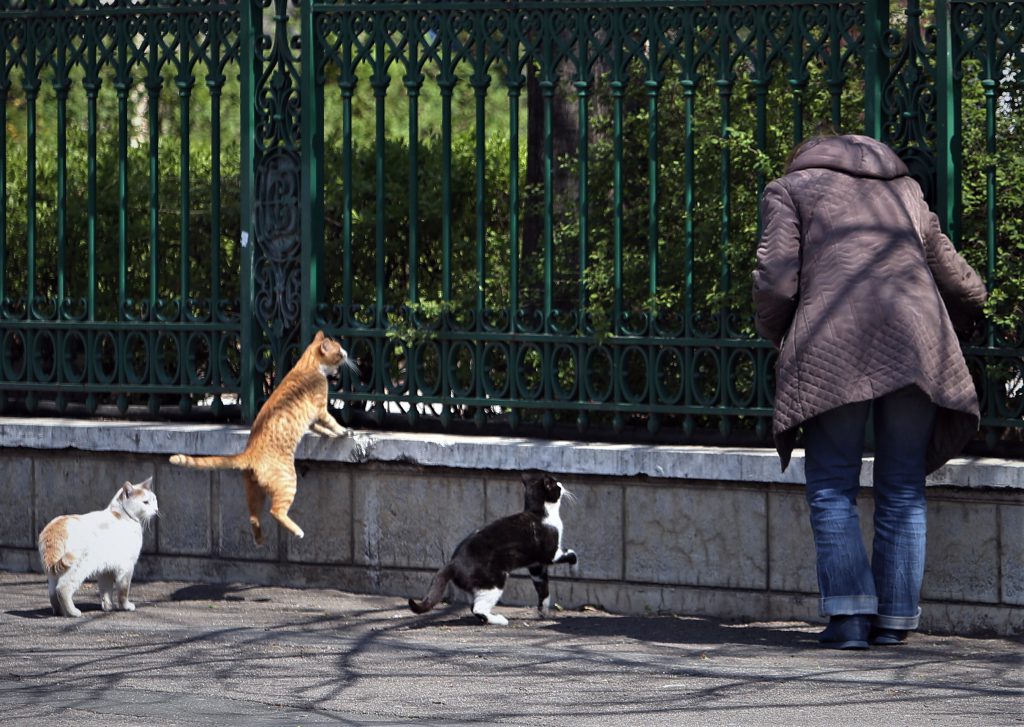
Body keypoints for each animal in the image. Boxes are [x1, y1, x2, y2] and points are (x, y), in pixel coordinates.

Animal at [38, 479, 158, 622]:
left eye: (154, 500)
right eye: (145, 502)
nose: (156, 510)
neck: (122, 515)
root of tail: (56, 526)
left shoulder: (106, 570)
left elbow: (106, 591)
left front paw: (108, 607)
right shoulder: (127, 567)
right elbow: (123, 591)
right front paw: (126, 606)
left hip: (53, 575)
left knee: (52, 594)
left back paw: (60, 612)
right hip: (78, 567)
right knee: (62, 589)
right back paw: (73, 612)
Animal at [171, 333, 352, 544]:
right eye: (339, 351)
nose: (346, 354)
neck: (307, 364)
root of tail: (249, 453)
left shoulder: (312, 420)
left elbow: (321, 429)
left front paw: (330, 434)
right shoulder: (321, 409)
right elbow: (332, 422)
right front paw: (344, 431)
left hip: (254, 492)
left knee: (253, 516)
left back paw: (259, 540)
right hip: (287, 481)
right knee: (276, 511)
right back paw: (297, 531)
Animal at [409, 473, 585, 626]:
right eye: (555, 484)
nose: (562, 483)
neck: (540, 513)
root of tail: (453, 562)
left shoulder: (536, 566)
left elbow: (543, 588)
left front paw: (543, 611)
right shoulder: (551, 553)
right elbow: (572, 553)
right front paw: (575, 569)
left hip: (479, 585)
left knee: (474, 606)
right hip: (494, 581)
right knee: (477, 608)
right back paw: (500, 620)